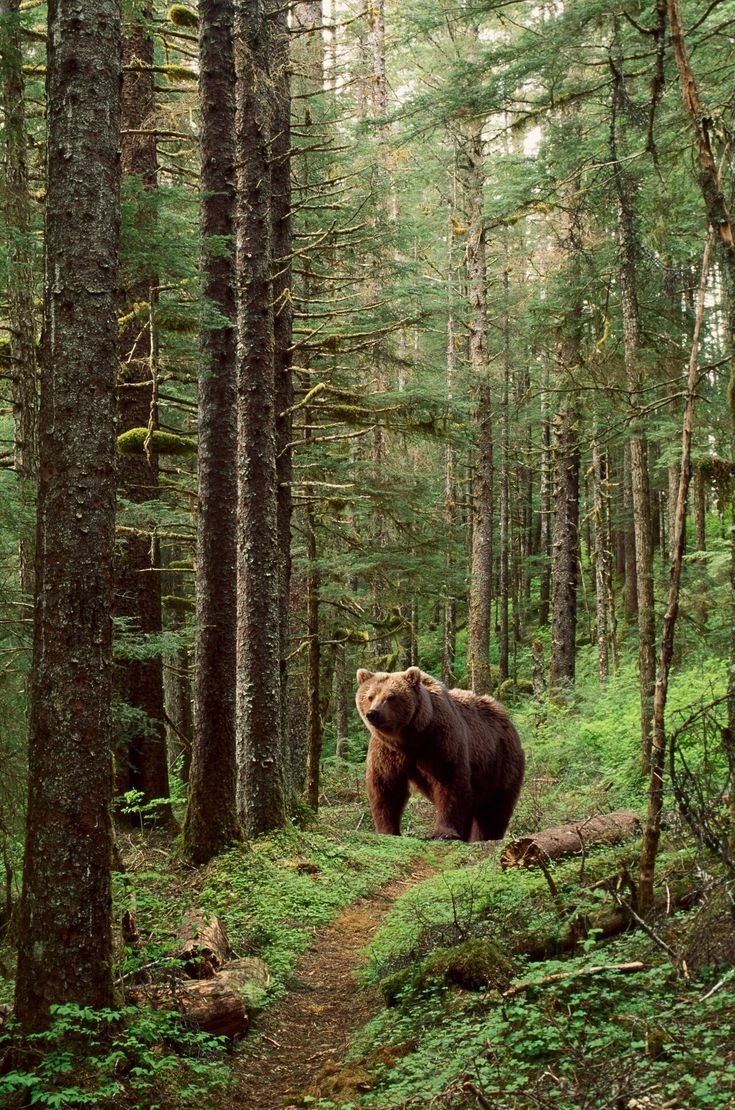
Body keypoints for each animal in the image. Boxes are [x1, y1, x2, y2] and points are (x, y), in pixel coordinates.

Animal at [356, 666, 524, 842]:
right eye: (370, 696)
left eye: (391, 697)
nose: (373, 713)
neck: (409, 738)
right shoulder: (387, 752)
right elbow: (386, 786)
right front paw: (387, 830)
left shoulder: (439, 742)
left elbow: (449, 782)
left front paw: (444, 833)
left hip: (499, 762)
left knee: (494, 806)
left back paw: (486, 836)